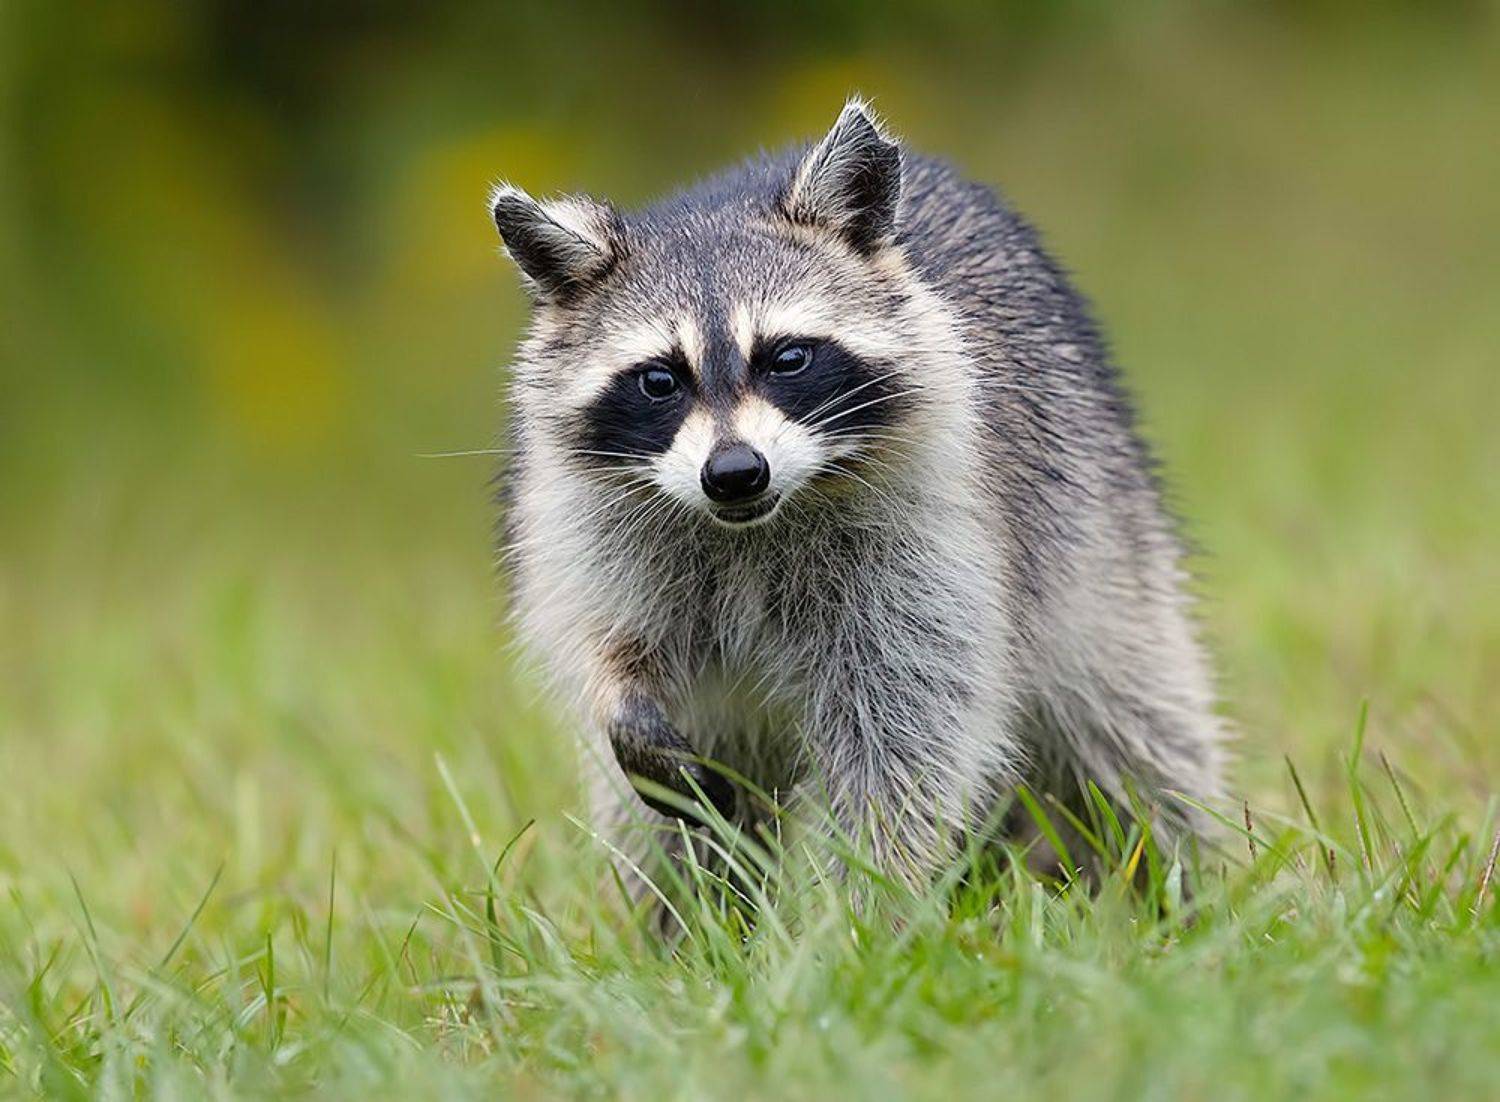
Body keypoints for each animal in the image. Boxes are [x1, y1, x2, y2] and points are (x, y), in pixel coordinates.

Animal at [490, 99, 1226, 888]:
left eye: (786, 357)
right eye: (659, 378)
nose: (735, 472)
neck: (749, 527)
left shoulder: (931, 534)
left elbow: (904, 729)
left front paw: (864, 900)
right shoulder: (585, 523)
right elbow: (603, 650)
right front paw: (622, 707)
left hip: (1102, 535)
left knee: (1138, 730)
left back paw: (1183, 875)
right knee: (657, 836)